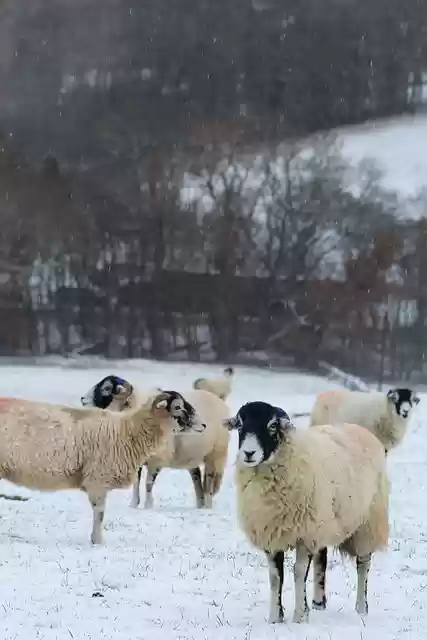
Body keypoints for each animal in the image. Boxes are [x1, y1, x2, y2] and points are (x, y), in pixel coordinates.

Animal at [0, 382, 206, 545]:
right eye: (178, 407)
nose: (203, 425)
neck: (128, 431)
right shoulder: (98, 480)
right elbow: (99, 513)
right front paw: (97, 541)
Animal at [82, 375, 231, 510]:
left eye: (107, 388)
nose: (83, 400)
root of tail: (219, 401)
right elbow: (136, 483)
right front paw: (133, 504)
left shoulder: (156, 461)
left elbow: (148, 484)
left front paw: (148, 505)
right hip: (191, 458)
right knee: (197, 478)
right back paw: (200, 504)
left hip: (215, 456)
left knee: (210, 483)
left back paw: (208, 506)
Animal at [225, 401, 389, 624]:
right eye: (240, 425)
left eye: (272, 426)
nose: (249, 453)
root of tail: (359, 429)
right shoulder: (273, 533)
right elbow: (275, 577)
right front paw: (275, 617)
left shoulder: (305, 534)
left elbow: (298, 573)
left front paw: (300, 616)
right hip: (323, 520)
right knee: (322, 560)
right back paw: (319, 603)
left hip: (368, 522)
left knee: (363, 565)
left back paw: (361, 608)